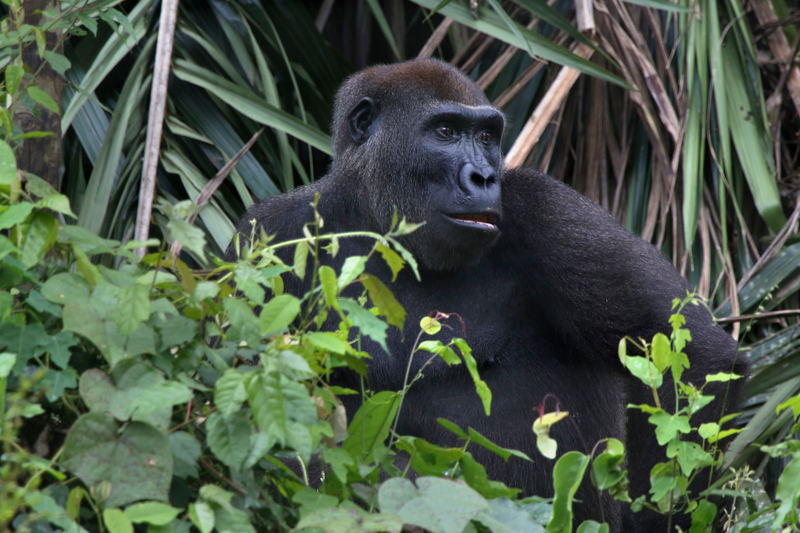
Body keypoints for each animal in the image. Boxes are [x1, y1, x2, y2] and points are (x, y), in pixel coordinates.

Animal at [227, 57, 752, 528]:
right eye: (444, 132)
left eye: (485, 137)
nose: (484, 177)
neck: (377, 220)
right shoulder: (267, 232)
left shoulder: (545, 208)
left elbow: (695, 355)